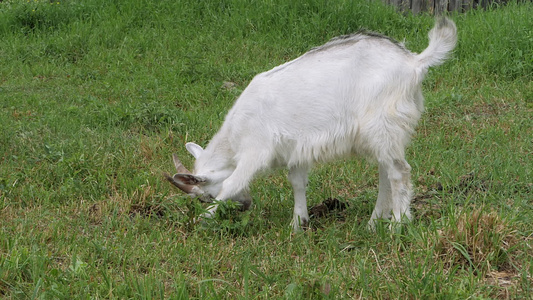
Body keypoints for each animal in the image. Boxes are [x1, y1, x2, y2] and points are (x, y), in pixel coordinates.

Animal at [167, 17, 458, 231]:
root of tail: (414, 62)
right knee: (386, 171)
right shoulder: (296, 147)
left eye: (205, 196)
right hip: (384, 133)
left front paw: (203, 218)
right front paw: (298, 223)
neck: (236, 132)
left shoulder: (256, 150)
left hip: (383, 124)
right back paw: (373, 222)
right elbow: (296, 182)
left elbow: (232, 183)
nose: (247, 205)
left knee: (399, 171)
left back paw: (397, 224)